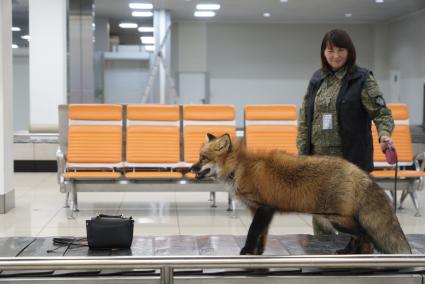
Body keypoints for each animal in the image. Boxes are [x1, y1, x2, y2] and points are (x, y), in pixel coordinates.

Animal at [190, 133, 410, 255]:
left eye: (203, 158)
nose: (191, 168)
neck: (239, 167)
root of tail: (358, 171)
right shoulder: (260, 210)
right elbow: (262, 234)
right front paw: (258, 252)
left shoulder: (264, 208)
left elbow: (252, 232)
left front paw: (246, 252)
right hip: (334, 218)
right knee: (358, 235)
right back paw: (348, 252)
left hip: (336, 219)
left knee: (364, 234)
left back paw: (361, 254)